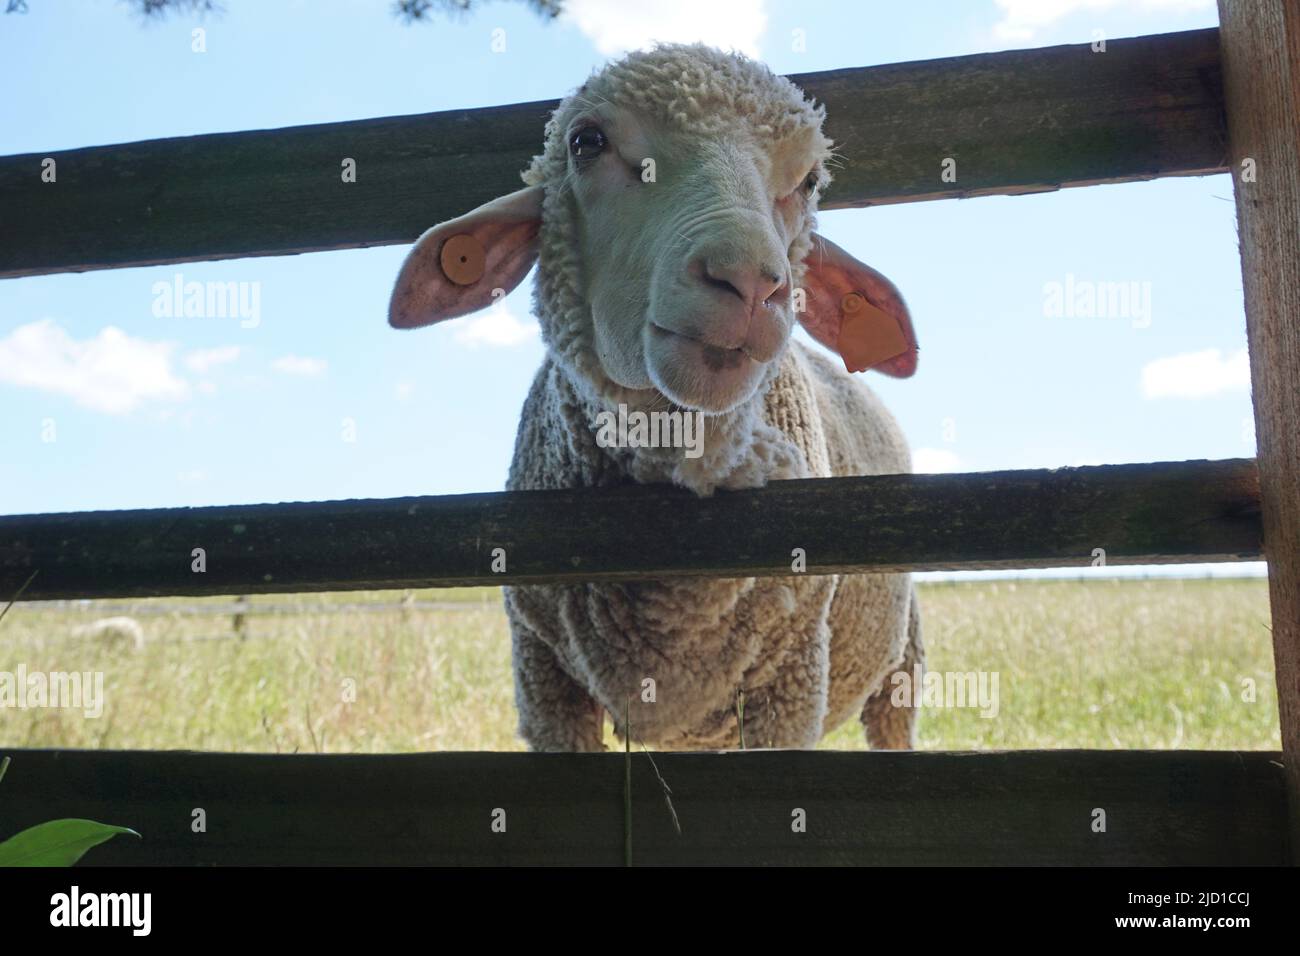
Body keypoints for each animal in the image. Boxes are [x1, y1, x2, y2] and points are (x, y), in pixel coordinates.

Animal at [389, 44, 921, 752]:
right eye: (586, 142)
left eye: (809, 181)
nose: (750, 281)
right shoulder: (541, 674)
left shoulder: (793, 677)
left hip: (903, 660)